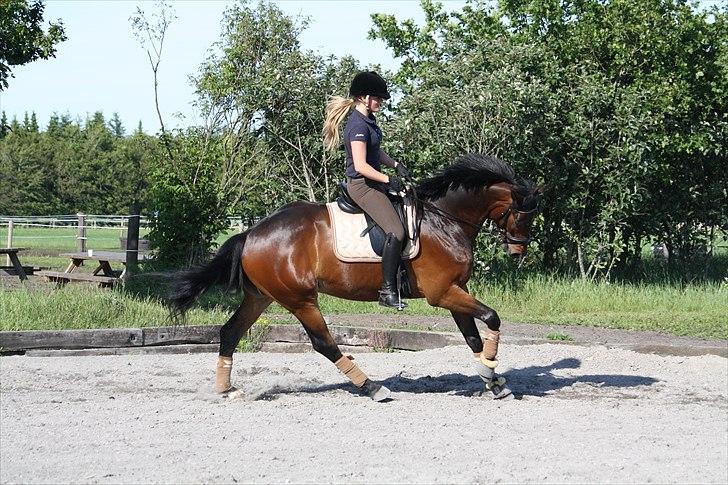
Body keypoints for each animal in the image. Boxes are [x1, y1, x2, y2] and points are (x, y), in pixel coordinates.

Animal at [172, 153, 540, 398]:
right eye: (523, 216)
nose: (518, 253)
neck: (444, 219)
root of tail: (251, 233)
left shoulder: (455, 289)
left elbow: (473, 336)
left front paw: (492, 380)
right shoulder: (443, 293)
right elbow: (492, 318)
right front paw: (491, 368)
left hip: (260, 297)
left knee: (230, 332)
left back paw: (225, 389)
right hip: (300, 299)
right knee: (323, 342)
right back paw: (372, 386)